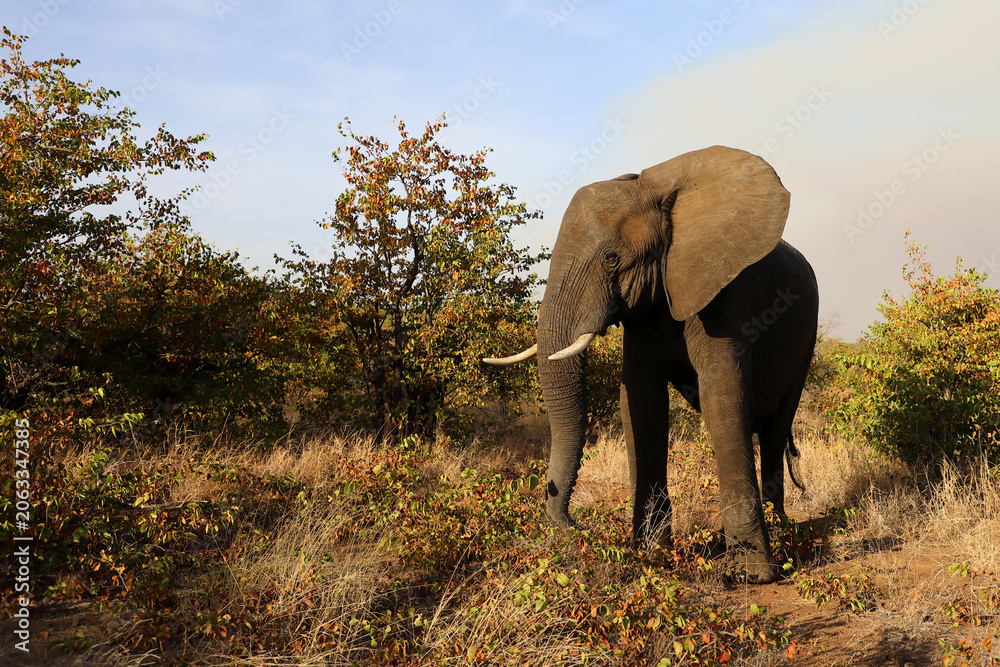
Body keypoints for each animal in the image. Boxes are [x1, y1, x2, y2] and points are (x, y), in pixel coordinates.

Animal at [484, 146, 818, 584]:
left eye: (611, 259)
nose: (574, 524)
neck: (656, 190)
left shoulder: (726, 289)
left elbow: (722, 396)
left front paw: (752, 575)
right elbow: (639, 402)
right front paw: (651, 555)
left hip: (806, 341)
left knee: (776, 427)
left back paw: (780, 532)